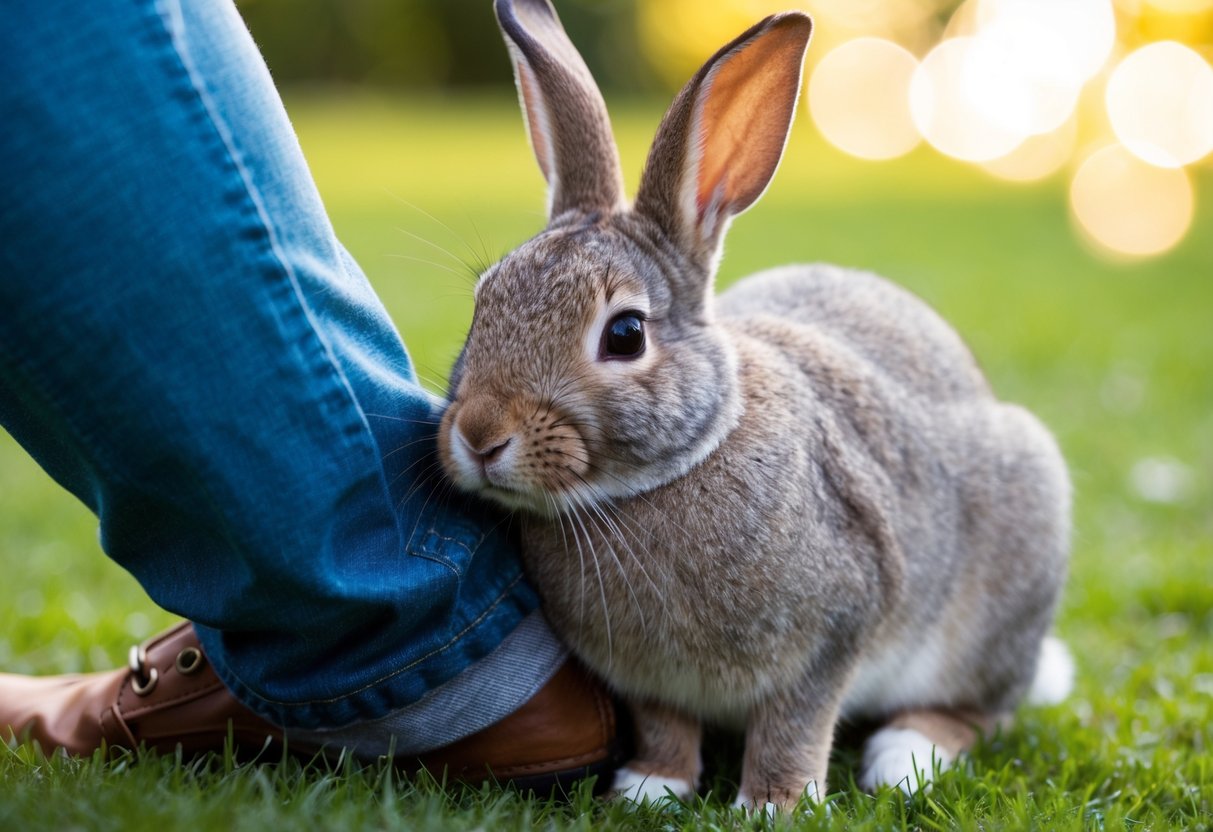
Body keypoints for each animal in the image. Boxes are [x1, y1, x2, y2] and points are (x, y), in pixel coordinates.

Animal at [437, 0, 1072, 812]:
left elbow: (793, 726)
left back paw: (906, 755)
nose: (481, 435)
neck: (659, 479)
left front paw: (773, 804)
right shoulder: (646, 681)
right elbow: (663, 725)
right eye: (483, 303)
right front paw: (651, 787)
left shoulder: (832, 635)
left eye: (625, 334)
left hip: (997, 591)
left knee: (981, 709)